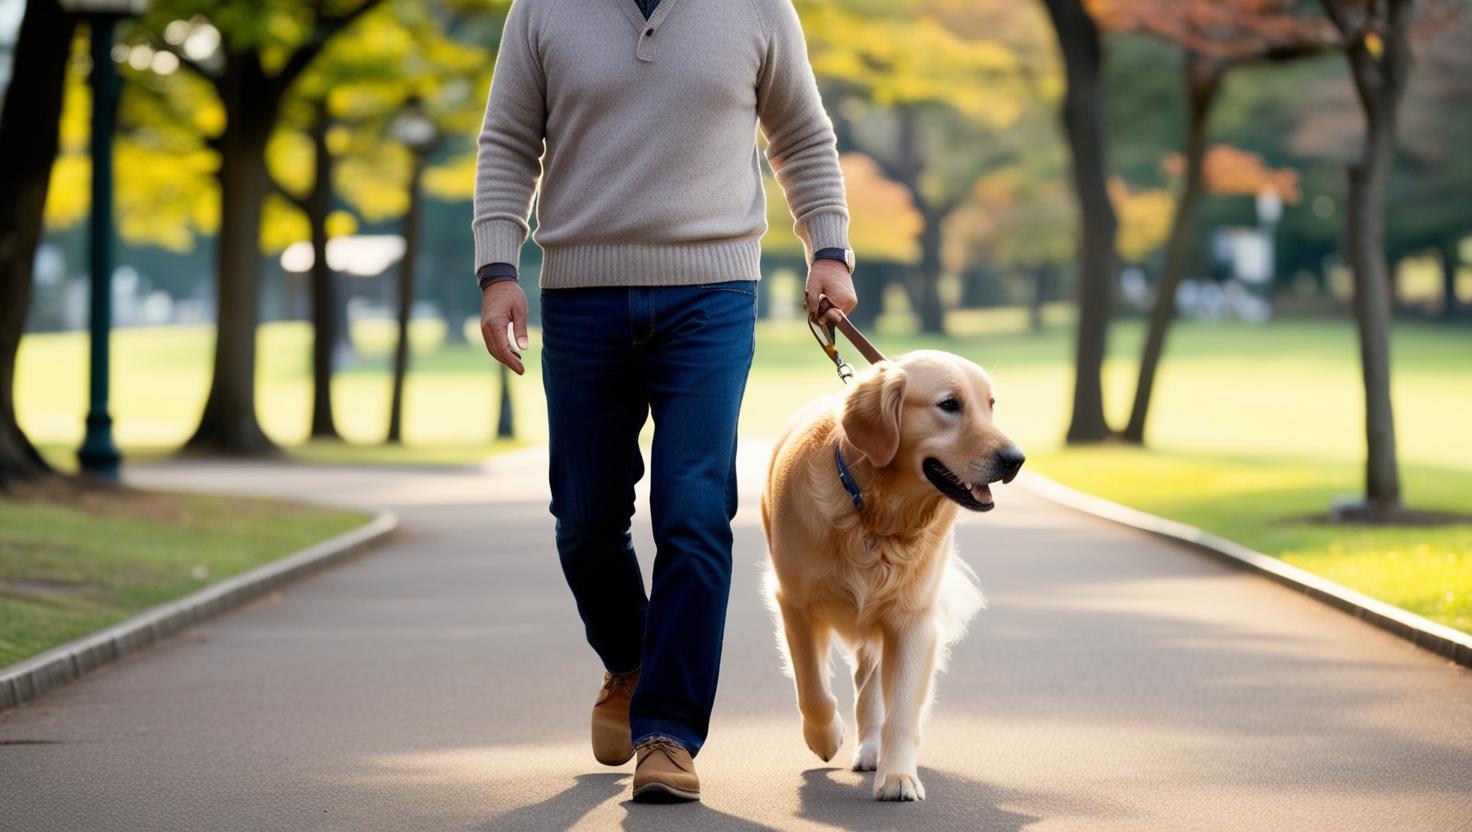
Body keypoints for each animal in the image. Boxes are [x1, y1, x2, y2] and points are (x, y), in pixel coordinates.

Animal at [759, 348, 1024, 795]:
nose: (1016, 460)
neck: (875, 515)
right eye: (949, 405)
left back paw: (872, 751)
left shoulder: (911, 620)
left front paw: (898, 776)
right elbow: (812, 690)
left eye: (991, 405)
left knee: (870, 691)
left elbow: (899, 711)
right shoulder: (794, 604)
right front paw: (825, 736)